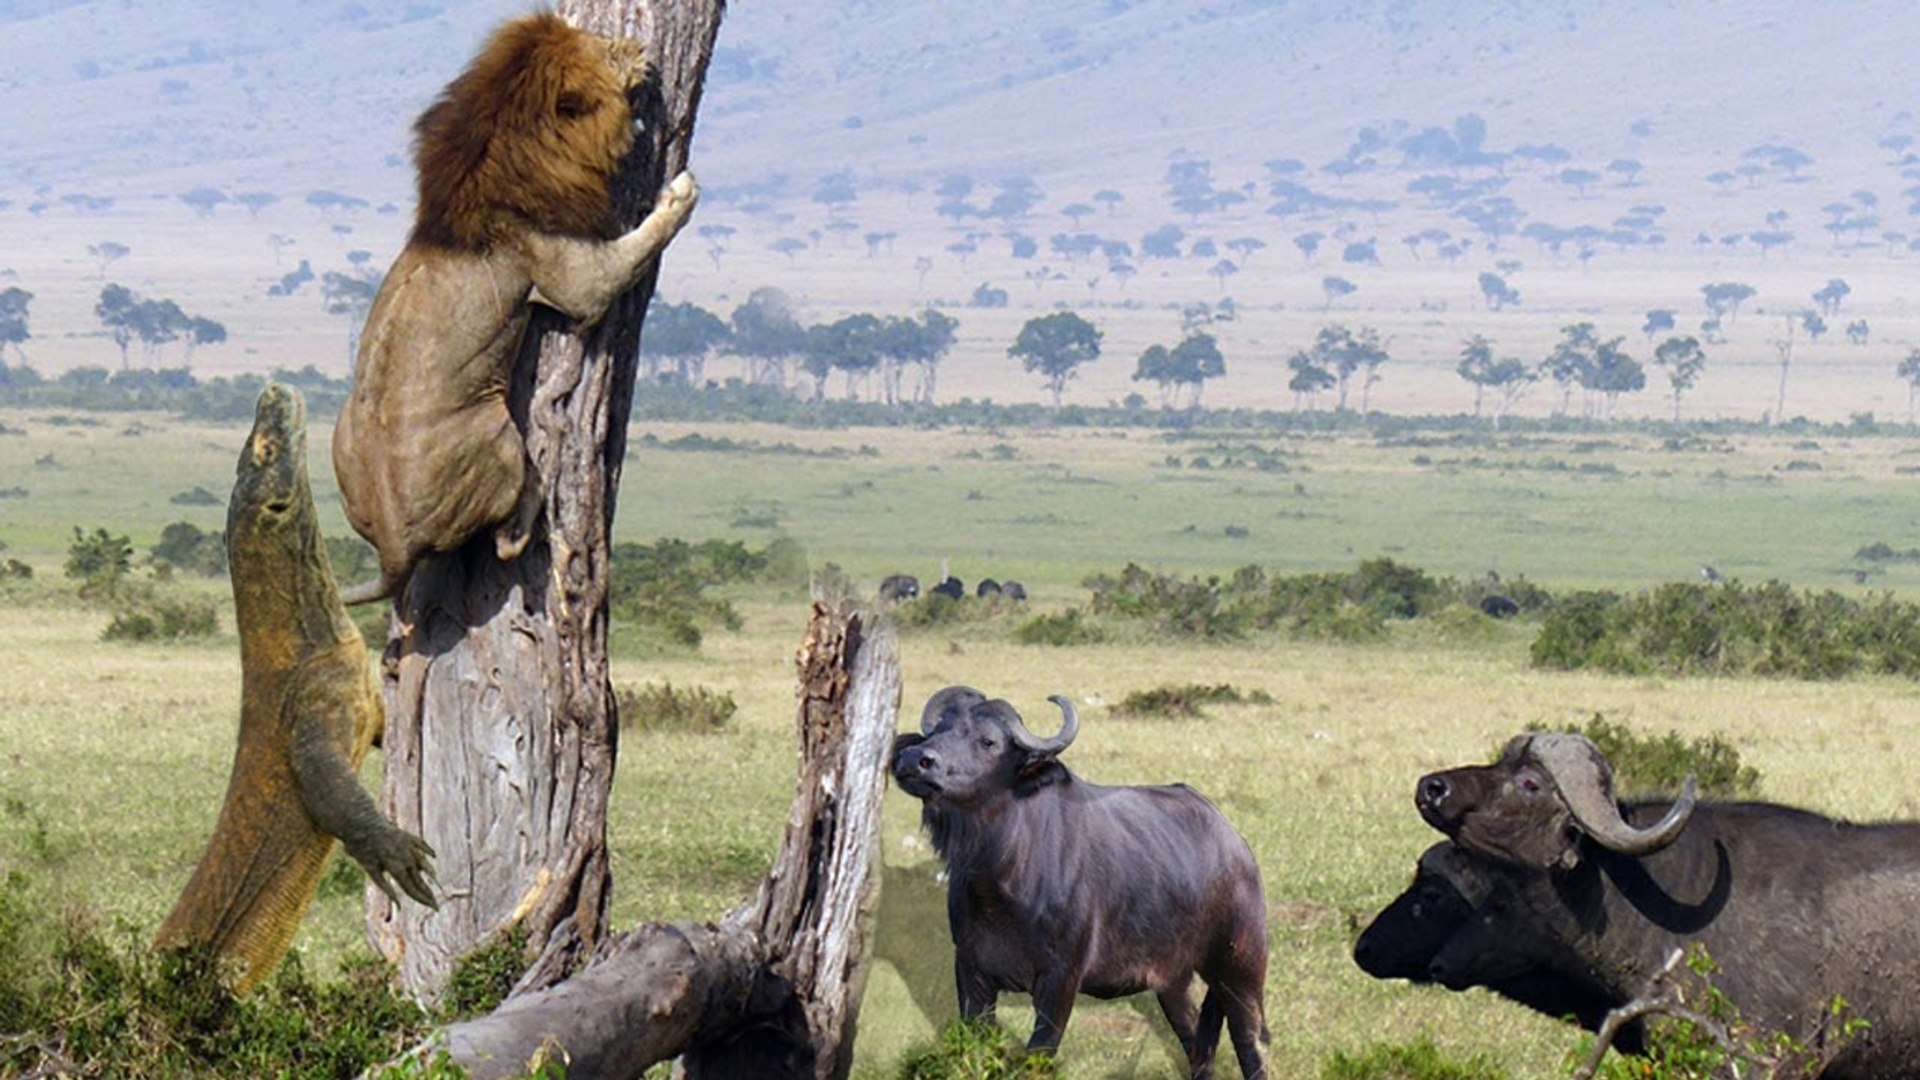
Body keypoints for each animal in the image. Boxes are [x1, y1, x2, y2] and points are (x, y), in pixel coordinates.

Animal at [332, 12, 698, 605]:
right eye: (607, 48)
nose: (642, 48)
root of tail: (391, 543)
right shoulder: (575, 278)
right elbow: (640, 244)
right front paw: (680, 193)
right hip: (498, 432)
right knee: (507, 535)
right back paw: (536, 516)